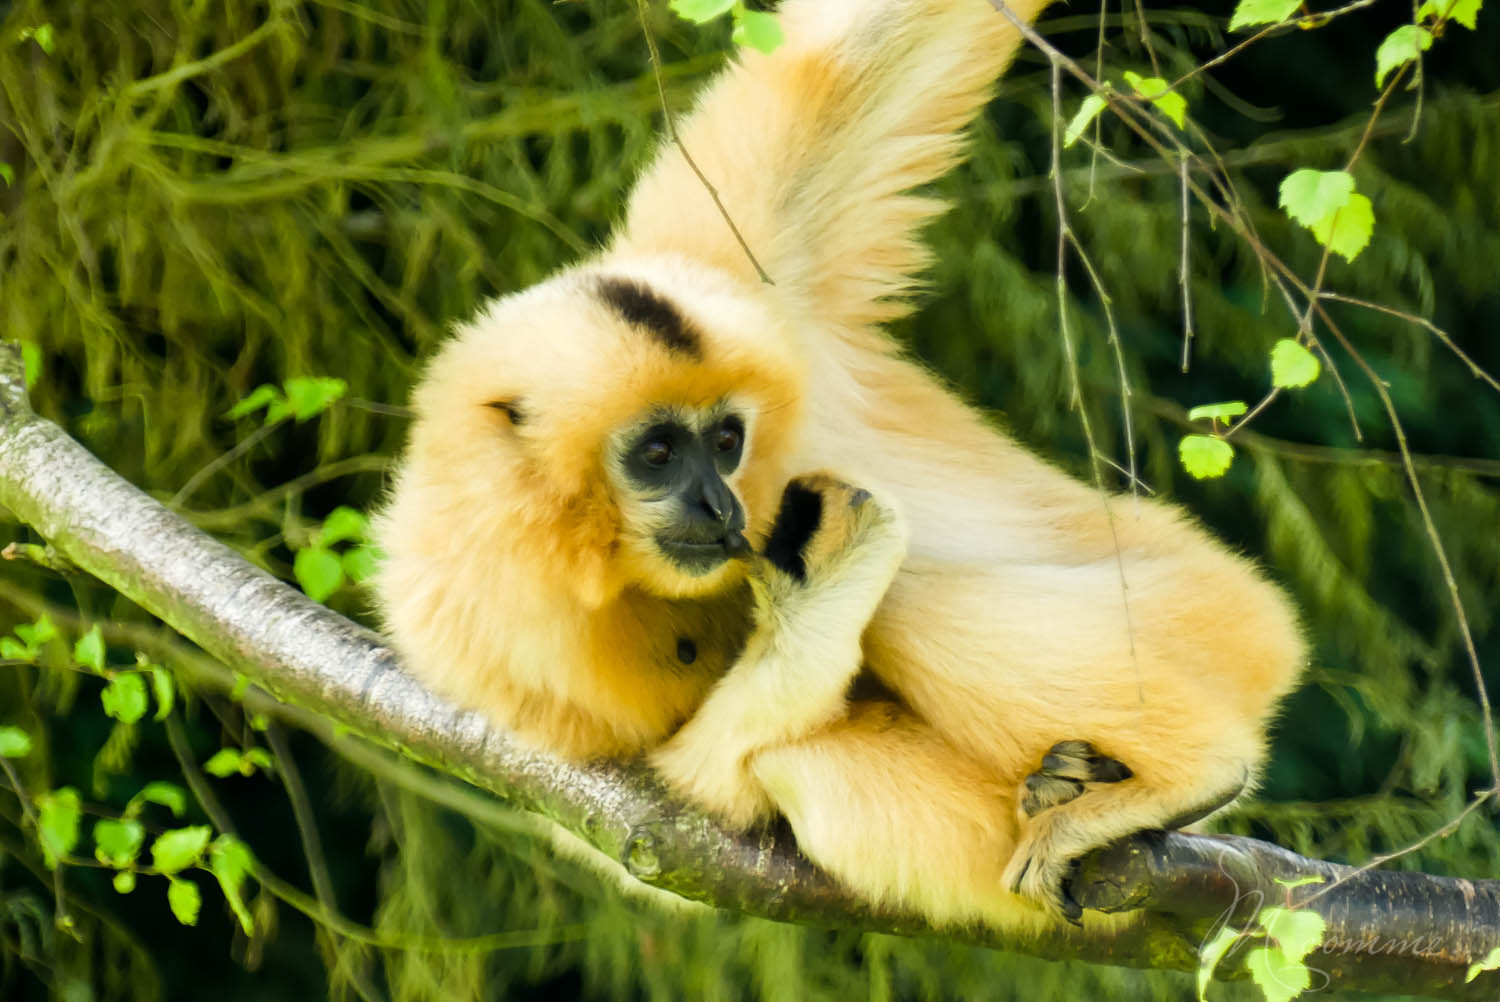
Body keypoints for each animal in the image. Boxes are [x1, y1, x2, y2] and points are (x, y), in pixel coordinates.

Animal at [373, 0, 1305, 928]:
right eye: (657, 454)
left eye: (726, 440)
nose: (720, 508)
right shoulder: (477, 640)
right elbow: (668, 819)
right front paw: (818, 591)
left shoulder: (737, 265)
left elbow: (858, 51)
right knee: (803, 748)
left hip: (1210, 616)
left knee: (909, 599)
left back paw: (1189, 772)